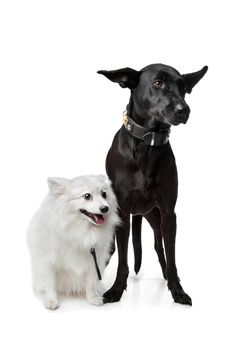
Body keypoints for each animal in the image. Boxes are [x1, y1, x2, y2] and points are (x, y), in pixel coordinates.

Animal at [26, 174, 119, 308]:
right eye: (87, 196)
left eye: (104, 194)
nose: (105, 208)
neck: (79, 229)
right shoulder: (48, 262)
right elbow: (50, 284)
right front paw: (51, 301)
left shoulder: (92, 261)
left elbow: (90, 283)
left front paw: (93, 298)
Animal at [98, 64, 208, 304]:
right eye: (158, 83)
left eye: (183, 87)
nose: (184, 110)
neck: (148, 143)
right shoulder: (122, 213)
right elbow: (122, 260)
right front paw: (116, 289)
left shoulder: (168, 213)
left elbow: (172, 256)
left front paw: (177, 290)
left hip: (155, 217)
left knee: (159, 246)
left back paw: (167, 276)